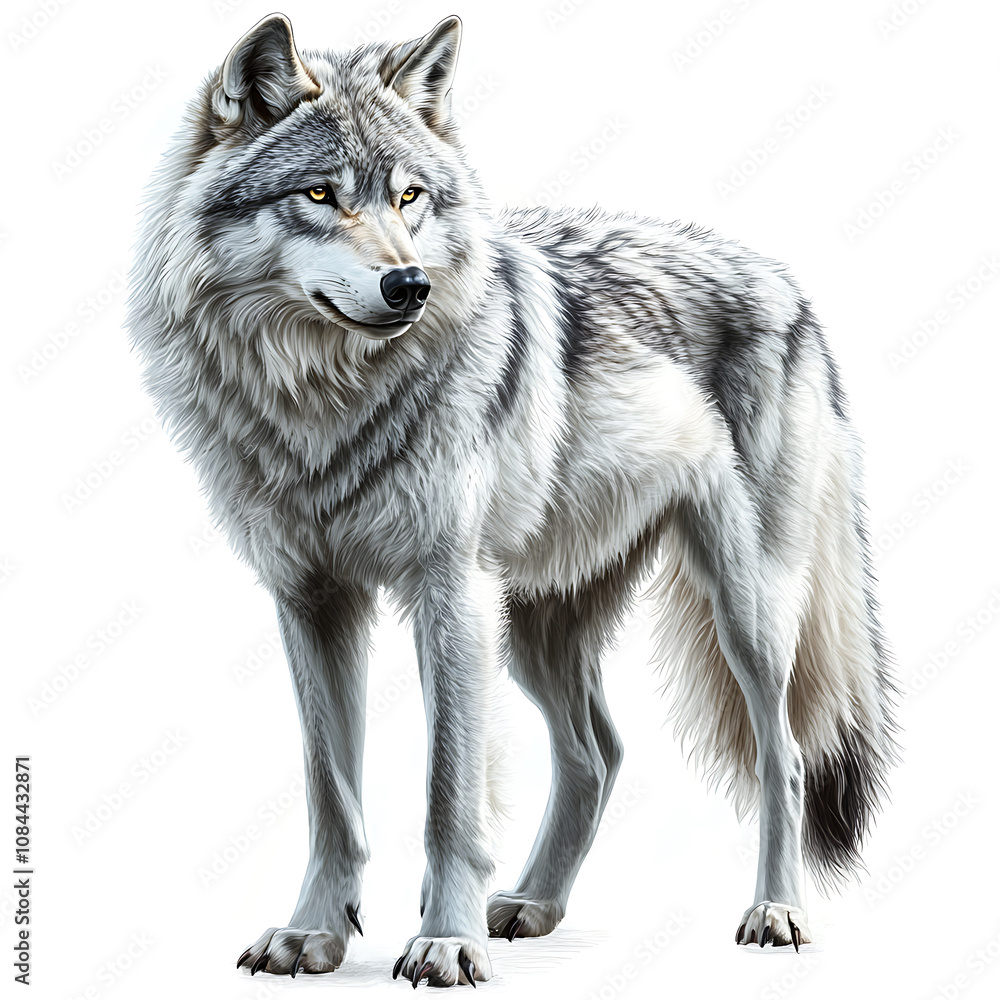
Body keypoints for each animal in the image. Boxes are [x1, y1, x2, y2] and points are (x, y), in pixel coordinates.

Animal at [127, 13, 898, 987]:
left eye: (411, 196)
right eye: (320, 194)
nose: (408, 286)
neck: (324, 403)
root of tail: (787, 281)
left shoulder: (449, 592)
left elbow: (447, 792)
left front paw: (445, 940)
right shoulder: (311, 599)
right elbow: (330, 792)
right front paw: (315, 934)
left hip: (743, 611)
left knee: (785, 755)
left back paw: (775, 911)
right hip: (535, 626)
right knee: (598, 752)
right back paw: (534, 903)